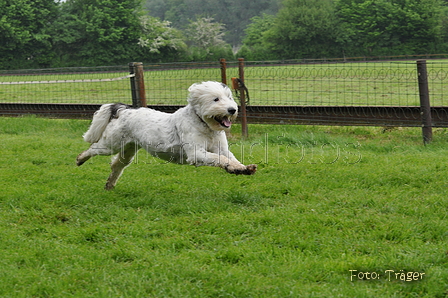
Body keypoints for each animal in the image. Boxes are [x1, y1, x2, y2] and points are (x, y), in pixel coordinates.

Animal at [78, 80, 256, 190]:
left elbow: (229, 157)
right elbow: (219, 158)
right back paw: (80, 158)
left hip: (128, 149)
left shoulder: (221, 148)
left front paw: (241, 168)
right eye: (216, 99)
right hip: (111, 144)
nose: (232, 110)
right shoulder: (196, 153)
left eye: (229, 97)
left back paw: (109, 185)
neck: (204, 125)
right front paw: (234, 167)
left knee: (116, 165)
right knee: (93, 148)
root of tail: (124, 109)